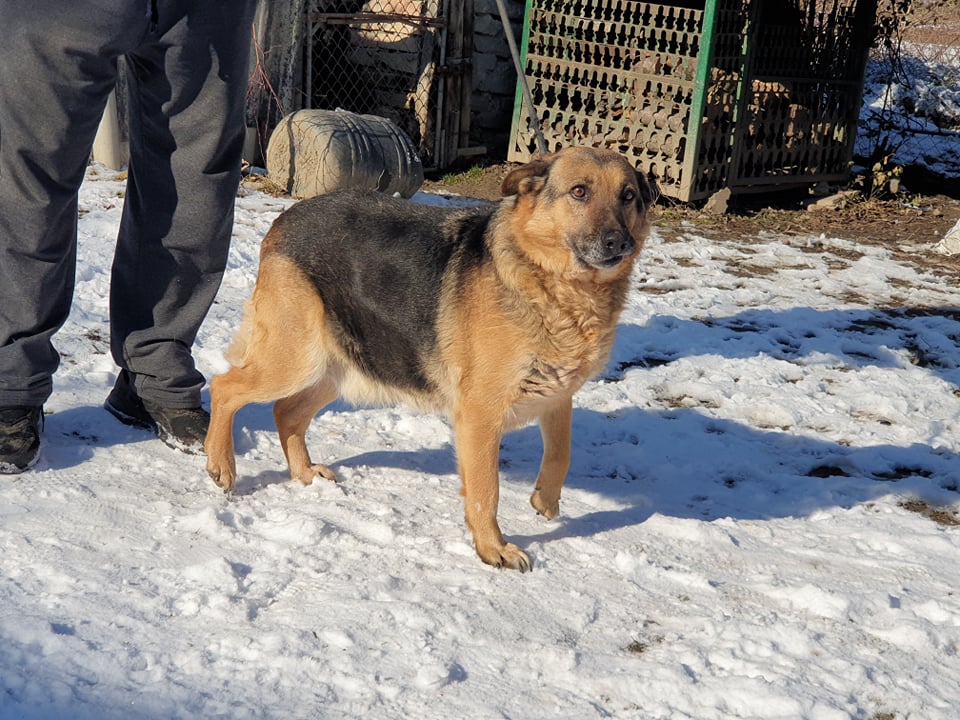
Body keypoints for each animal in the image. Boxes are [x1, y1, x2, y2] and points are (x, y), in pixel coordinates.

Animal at [202, 146, 652, 572]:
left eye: (628, 196)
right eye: (579, 192)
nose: (619, 243)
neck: (559, 287)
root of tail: (286, 217)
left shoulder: (558, 395)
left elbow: (561, 452)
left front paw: (546, 499)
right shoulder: (480, 415)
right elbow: (486, 491)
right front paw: (492, 549)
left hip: (342, 369)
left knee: (285, 413)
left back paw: (303, 473)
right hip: (296, 359)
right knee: (226, 387)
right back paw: (221, 464)